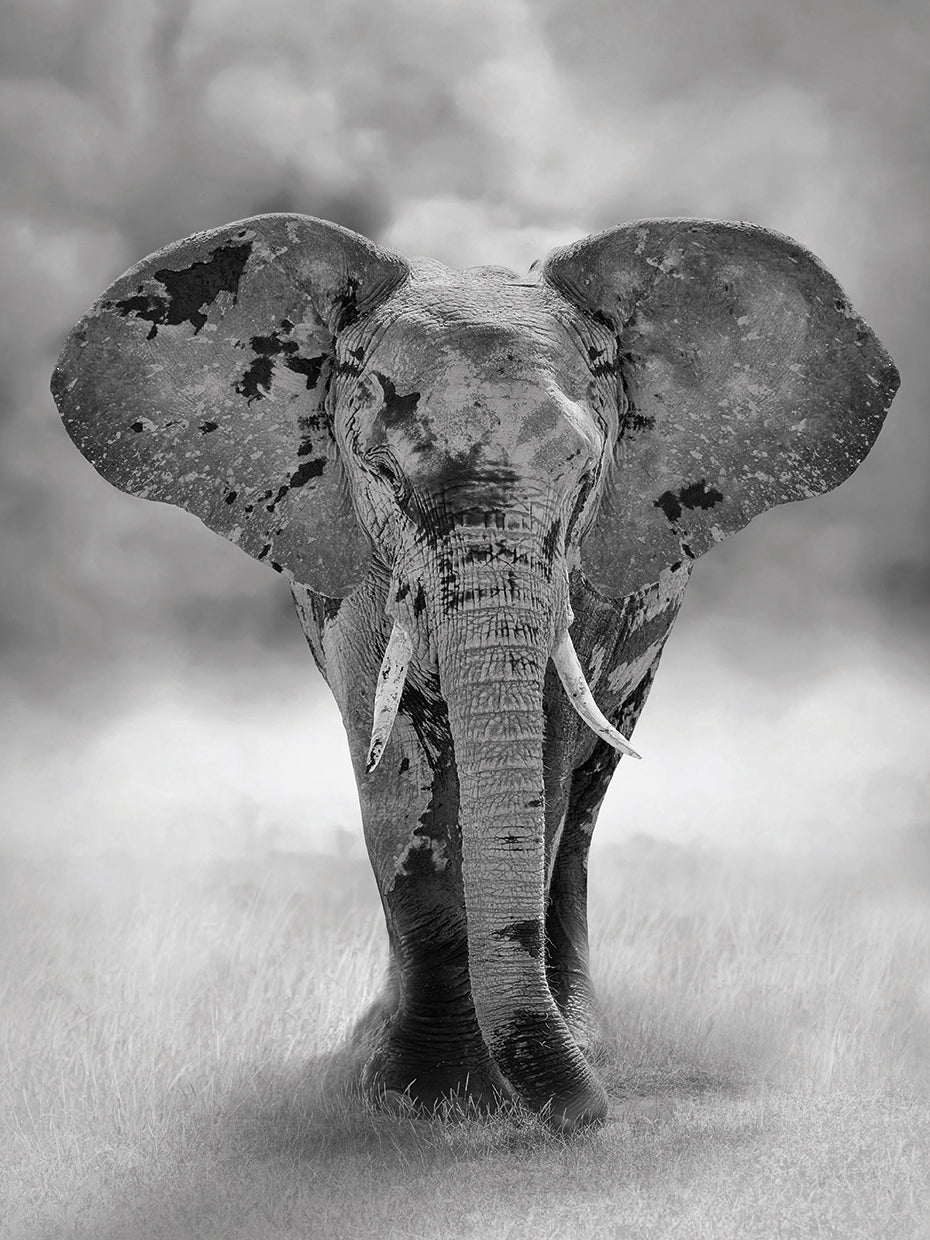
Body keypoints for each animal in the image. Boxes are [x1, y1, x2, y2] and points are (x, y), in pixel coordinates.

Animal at [51, 212, 898, 1130]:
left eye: (585, 475)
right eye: (382, 472)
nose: (593, 1116)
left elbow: (550, 758)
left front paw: (486, 1090)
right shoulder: (357, 566)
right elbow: (390, 771)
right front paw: (420, 1096)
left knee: (586, 798)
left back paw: (586, 1039)